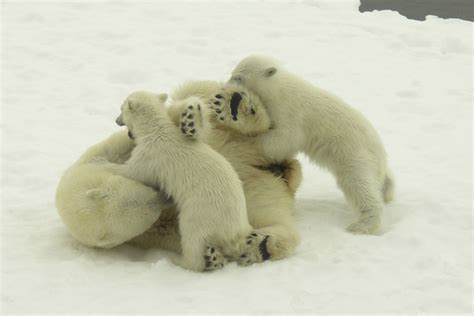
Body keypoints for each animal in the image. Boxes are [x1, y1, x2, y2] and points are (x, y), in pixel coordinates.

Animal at [105, 90, 254, 272]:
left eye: (121, 108)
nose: (116, 120)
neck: (156, 131)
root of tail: (235, 231)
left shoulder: (151, 156)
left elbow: (133, 171)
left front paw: (102, 163)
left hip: (202, 211)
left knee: (193, 236)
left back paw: (180, 260)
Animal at [228, 55, 394, 235]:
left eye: (239, 77)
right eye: (233, 73)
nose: (228, 84)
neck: (277, 89)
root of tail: (381, 155)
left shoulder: (290, 111)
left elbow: (285, 138)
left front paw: (248, 140)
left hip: (353, 153)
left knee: (359, 184)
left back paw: (362, 225)